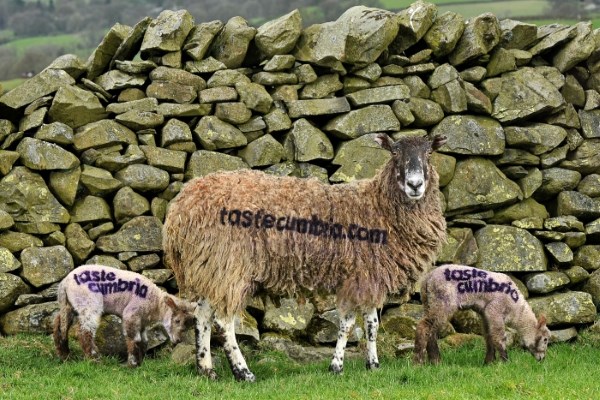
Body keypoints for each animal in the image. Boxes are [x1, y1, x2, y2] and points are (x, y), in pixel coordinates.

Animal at [52, 264, 195, 368]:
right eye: (177, 321)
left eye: (189, 325)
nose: (178, 340)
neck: (155, 303)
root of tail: (65, 283)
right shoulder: (131, 314)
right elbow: (133, 338)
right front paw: (132, 364)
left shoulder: (141, 321)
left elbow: (143, 340)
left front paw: (139, 361)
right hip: (89, 303)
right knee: (84, 331)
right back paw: (94, 359)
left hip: (69, 305)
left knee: (60, 326)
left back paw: (65, 356)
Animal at [162, 134, 448, 382]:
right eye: (395, 152)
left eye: (429, 153)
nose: (415, 185)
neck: (377, 207)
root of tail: (180, 209)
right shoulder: (356, 277)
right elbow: (347, 325)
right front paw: (337, 366)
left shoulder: (368, 276)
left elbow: (372, 324)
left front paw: (373, 365)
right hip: (229, 264)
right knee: (224, 321)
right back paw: (243, 373)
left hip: (211, 266)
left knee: (202, 315)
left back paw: (206, 369)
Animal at [414, 264, 552, 364]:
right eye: (545, 339)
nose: (542, 359)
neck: (516, 309)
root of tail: (428, 278)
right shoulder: (494, 310)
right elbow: (499, 337)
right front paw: (506, 362)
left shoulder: (485, 314)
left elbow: (488, 336)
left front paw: (489, 362)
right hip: (443, 301)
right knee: (424, 327)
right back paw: (419, 362)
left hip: (428, 303)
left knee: (431, 331)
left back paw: (435, 361)